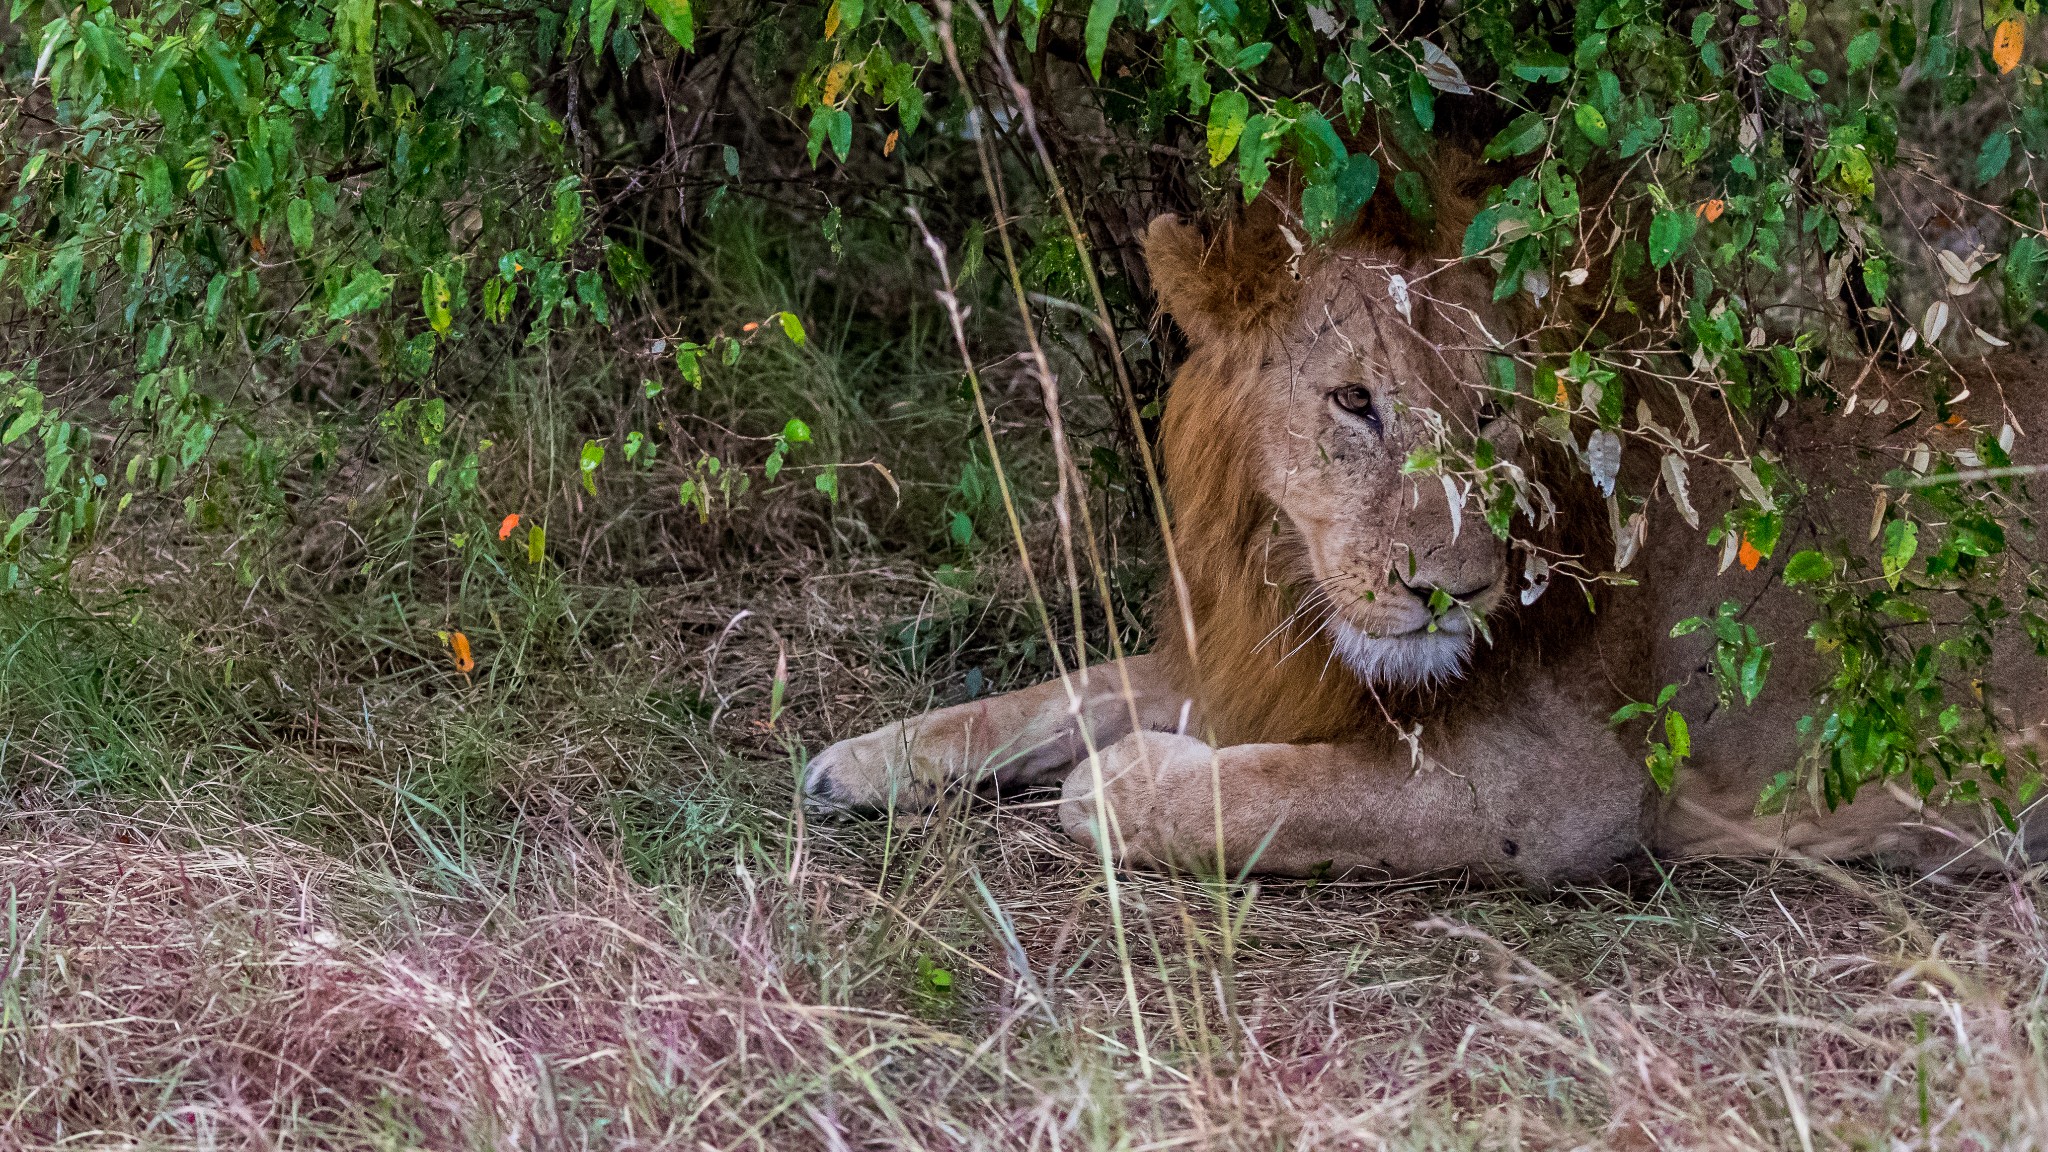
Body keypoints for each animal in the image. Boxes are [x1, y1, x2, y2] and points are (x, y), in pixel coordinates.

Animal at [802, 190, 2048, 889]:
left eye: (1489, 412)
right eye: (1354, 402)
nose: (1454, 593)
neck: (1285, 582)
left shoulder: (1567, 795)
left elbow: (1242, 794)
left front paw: (1124, 779)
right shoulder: (1245, 664)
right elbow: (1063, 690)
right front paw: (857, 762)